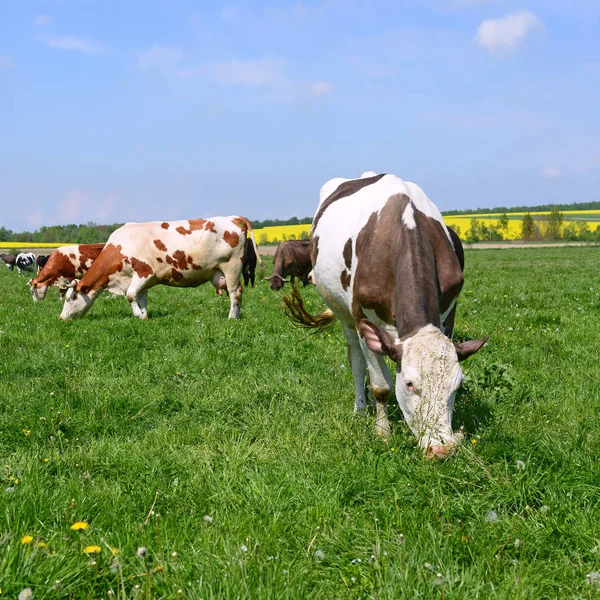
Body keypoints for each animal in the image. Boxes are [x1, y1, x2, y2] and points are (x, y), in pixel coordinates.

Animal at [59, 214, 262, 318]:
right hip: (220, 272)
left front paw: (139, 314)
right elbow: (140, 299)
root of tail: (234, 217)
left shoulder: (143, 272)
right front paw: (143, 315)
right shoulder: (142, 281)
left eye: (71, 298)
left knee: (235, 293)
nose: (61, 318)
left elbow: (130, 296)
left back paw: (231, 318)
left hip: (232, 268)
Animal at [286, 172, 488, 460]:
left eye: (458, 385)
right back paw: (361, 408)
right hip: (345, 316)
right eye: (410, 383)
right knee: (358, 363)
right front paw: (382, 432)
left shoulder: (449, 313)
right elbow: (380, 385)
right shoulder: (363, 320)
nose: (441, 449)